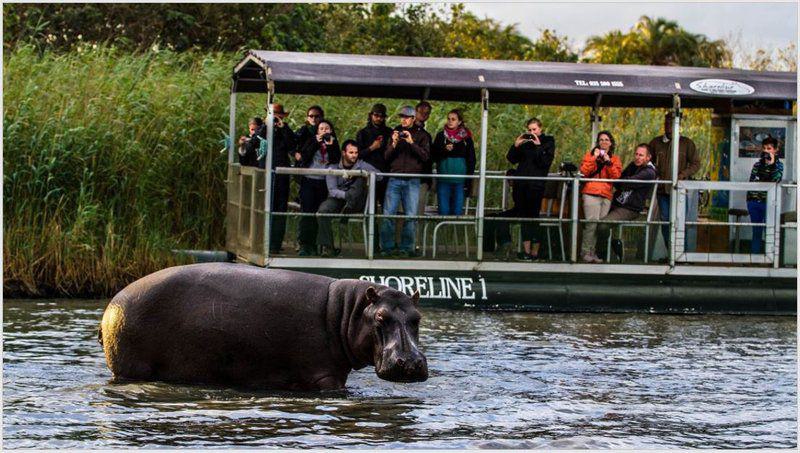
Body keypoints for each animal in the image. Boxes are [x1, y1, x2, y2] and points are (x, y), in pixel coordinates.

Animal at [100, 264, 428, 390]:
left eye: (418, 317)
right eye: (380, 318)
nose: (411, 362)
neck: (347, 311)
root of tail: (111, 305)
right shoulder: (325, 376)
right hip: (131, 368)